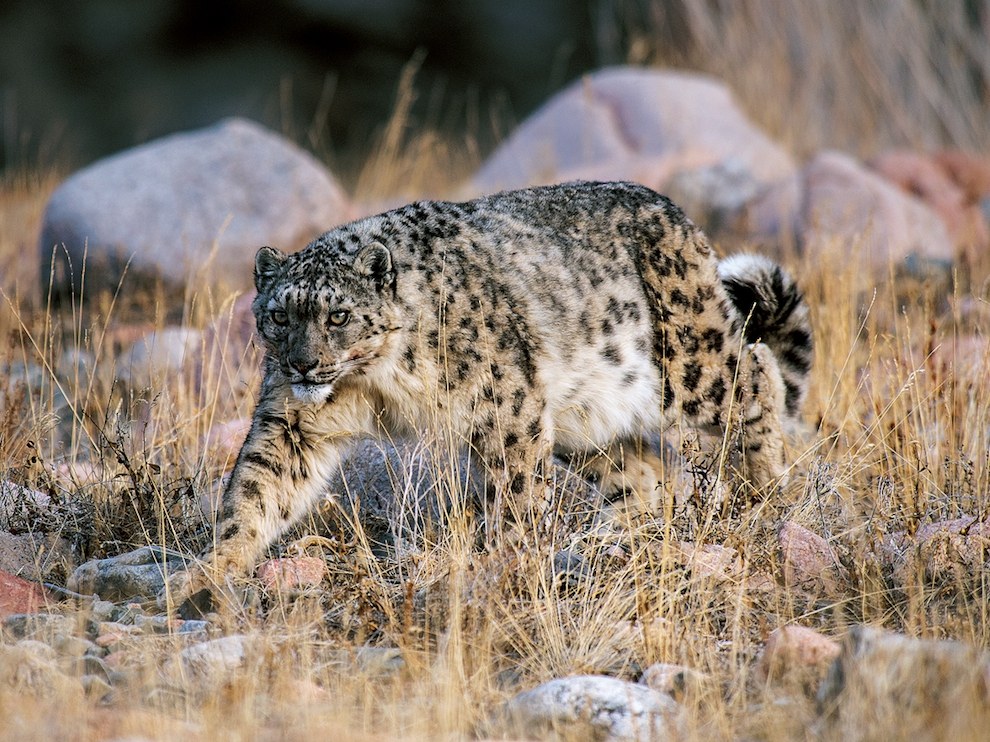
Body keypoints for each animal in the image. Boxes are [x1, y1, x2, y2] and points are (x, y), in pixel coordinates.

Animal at [163, 180, 812, 612]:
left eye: (338, 315)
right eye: (279, 315)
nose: (302, 363)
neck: (371, 379)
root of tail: (679, 216)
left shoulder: (506, 406)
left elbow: (519, 491)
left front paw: (510, 562)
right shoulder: (293, 422)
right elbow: (255, 491)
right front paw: (203, 577)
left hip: (690, 363)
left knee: (755, 377)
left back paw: (764, 488)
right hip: (586, 415)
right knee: (646, 472)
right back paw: (611, 537)